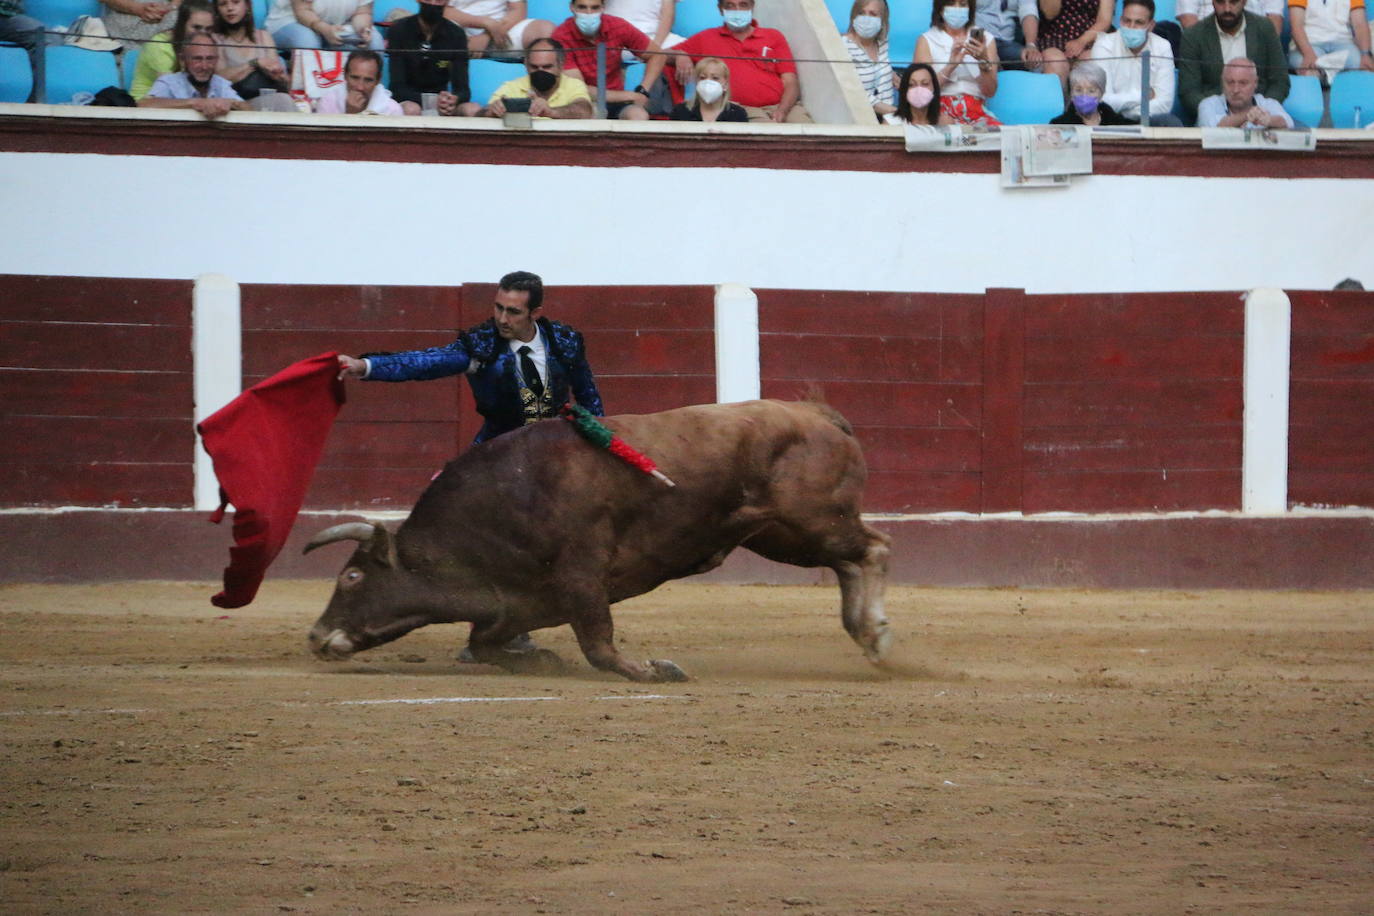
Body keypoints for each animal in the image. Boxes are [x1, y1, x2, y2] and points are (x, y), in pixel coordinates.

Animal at [303, 398, 890, 683]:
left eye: (351, 575)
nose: (315, 636)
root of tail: (815, 413)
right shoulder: (524, 599)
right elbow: (485, 641)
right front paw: (541, 661)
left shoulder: (581, 573)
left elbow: (598, 643)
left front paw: (655, 671)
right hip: (784, 536)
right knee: (851, 561)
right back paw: (867, 636)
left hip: (810, 519)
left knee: (874, 548)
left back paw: (877, 637)